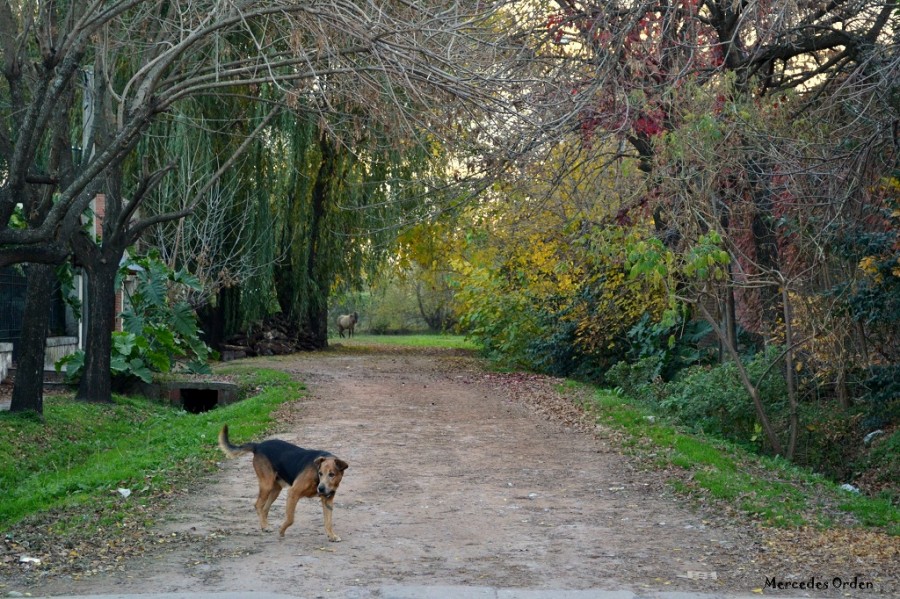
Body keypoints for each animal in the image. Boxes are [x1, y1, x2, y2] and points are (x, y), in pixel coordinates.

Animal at [216, 426, 350, 544]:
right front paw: (281, 530)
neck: (316, 478)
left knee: (264, 508)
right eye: (320, 473)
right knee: (258, 505)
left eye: (332, 474)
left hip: (276, 489)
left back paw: (265, 525)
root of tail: (258, 446)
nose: (320, 489)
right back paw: (265, 526)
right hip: (267, 485)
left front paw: (332, 536)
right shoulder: (293, 493)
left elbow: (328, 522)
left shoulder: (328, 501)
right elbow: (290, 519)